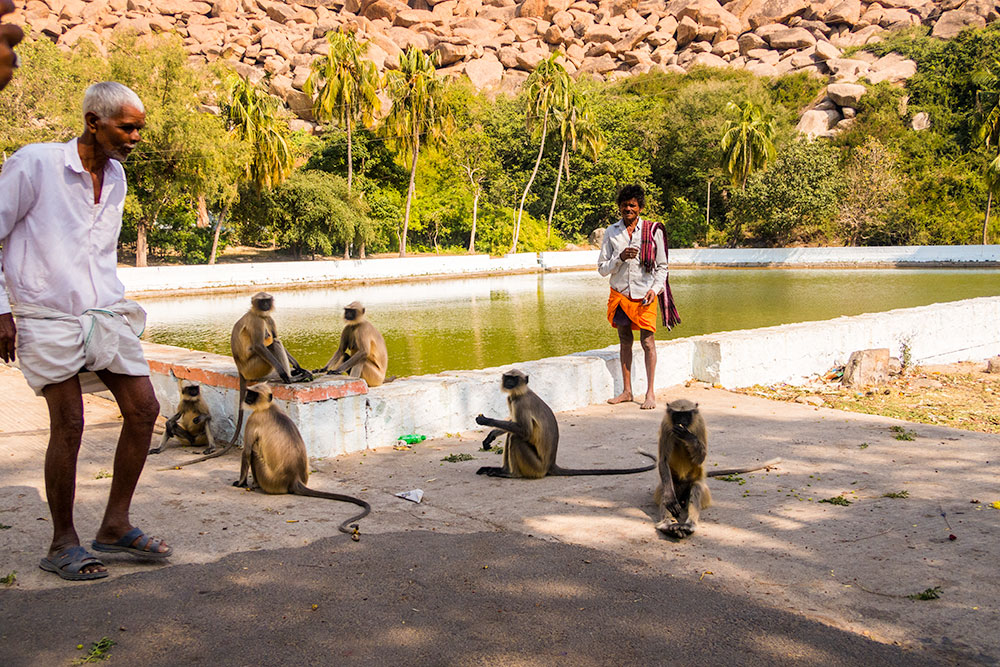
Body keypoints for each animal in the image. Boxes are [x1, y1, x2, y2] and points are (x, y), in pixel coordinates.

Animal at [232, 384, 370, 540]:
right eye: (249, 392)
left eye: (253, 394)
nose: (246, 397)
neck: (269, 407)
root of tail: (294, 478)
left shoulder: (254, 419)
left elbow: (246, 452)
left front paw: (240, 483)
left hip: (271, 481)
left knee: (255, 450)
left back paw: (256, 484)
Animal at [474, 370, 656, 480]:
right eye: (508, 377)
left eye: (514, 378)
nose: (509, 383)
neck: (520, 393)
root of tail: (550, 464)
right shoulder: (511, 399)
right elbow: (513, 424)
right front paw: (490, 436)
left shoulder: (521, 403)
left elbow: (524, 431)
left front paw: (486, 421)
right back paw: (501, 470)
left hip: (536, 467)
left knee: (515, 438)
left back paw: (511, 474)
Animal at [652, 400, 784, 540]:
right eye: (677, 415)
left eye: (686, 415)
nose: (682, 421)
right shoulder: (665, 425)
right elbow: (663, 461)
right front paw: (669, 502)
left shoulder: (700, 423)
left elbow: (700, 458)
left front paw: (689, 437)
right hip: (673, 486)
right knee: (666, 489)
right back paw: (667, 525)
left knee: (697, 487)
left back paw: (689, 525)